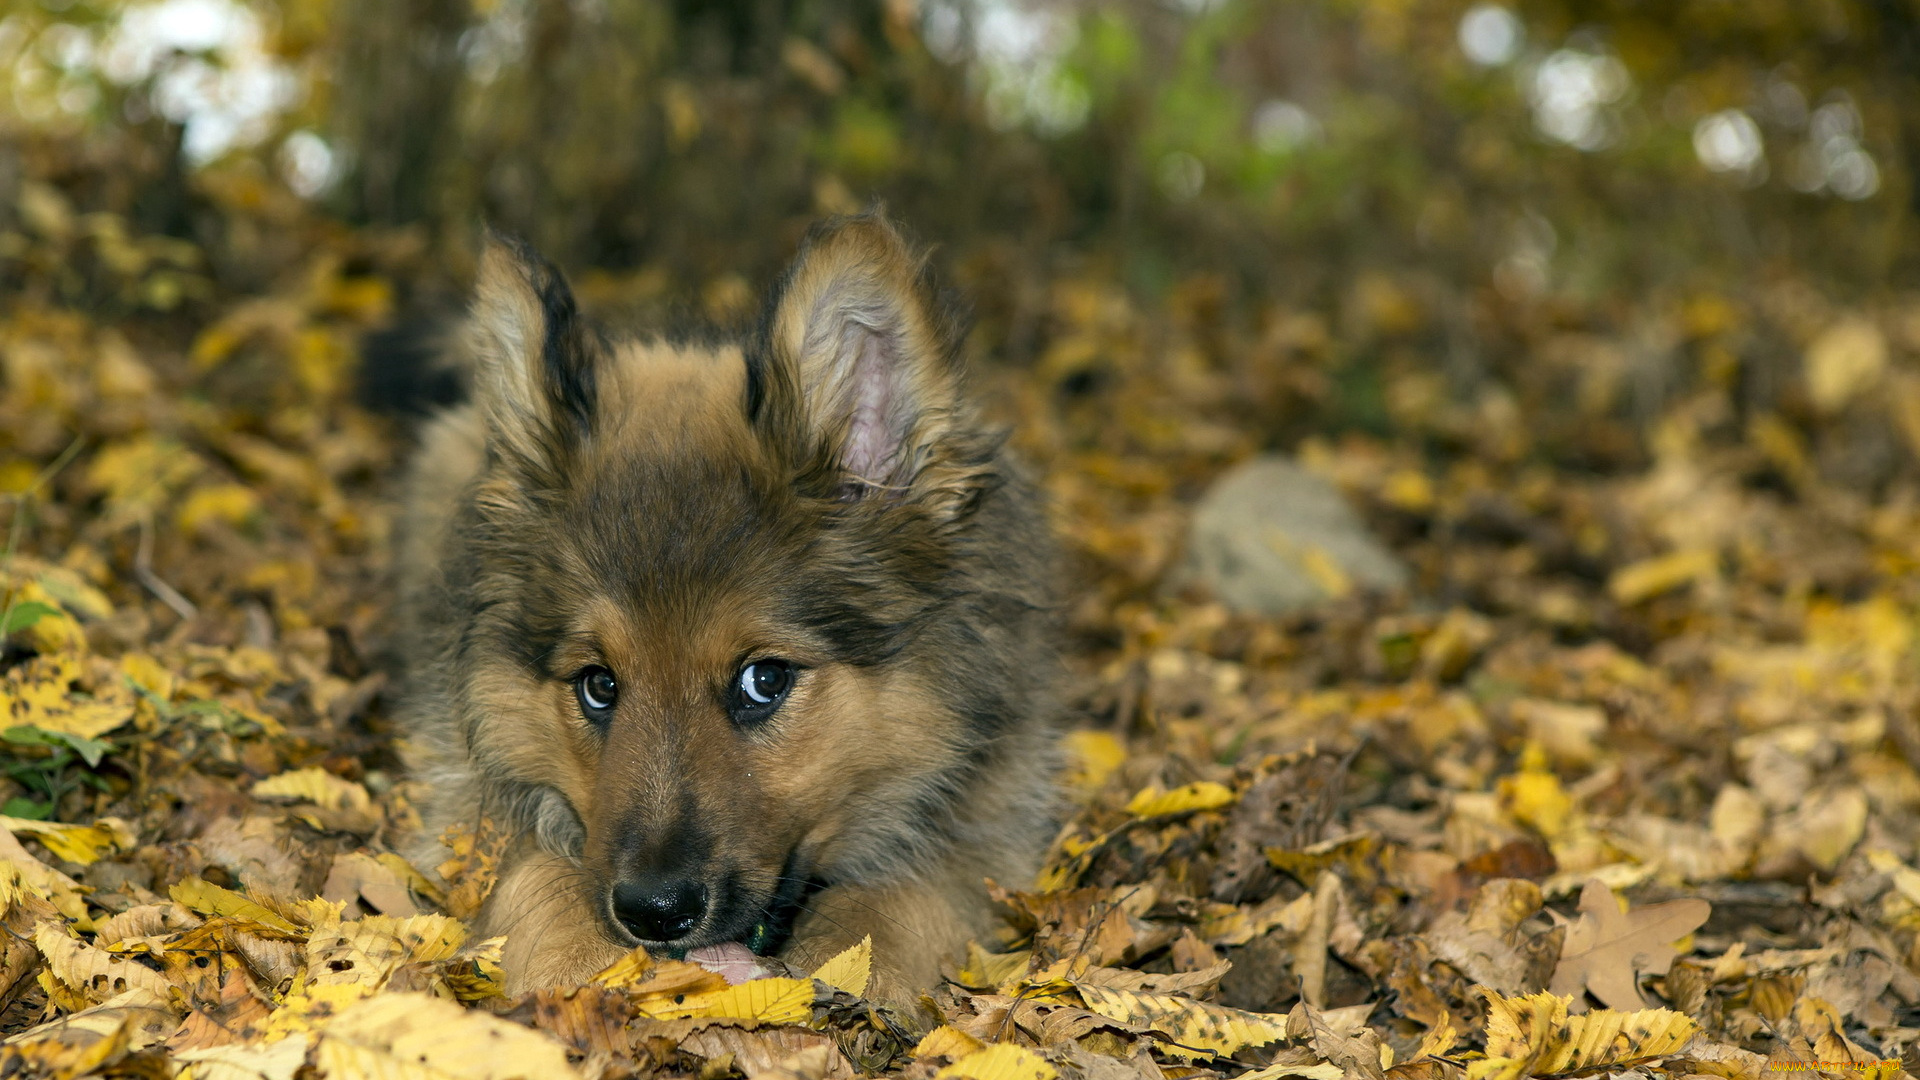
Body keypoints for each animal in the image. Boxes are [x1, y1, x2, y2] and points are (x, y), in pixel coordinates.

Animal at [384, 214, 1059, 1006]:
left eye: (764, 681)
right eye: (599, 685)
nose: (653, 912)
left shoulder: (980, 831)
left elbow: (903, 899)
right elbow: (536, 876)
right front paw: (572, 978)